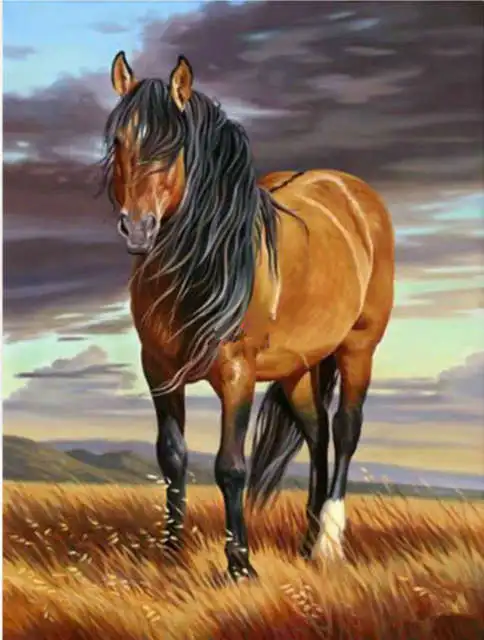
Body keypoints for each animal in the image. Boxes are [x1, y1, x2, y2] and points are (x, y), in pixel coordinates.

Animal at [101, 50, 395, 581]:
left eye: (175, 145)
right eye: (119, 141)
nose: (138, 228)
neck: (201, 261)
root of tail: (353, 191)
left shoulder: (236, 372)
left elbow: (231, 466)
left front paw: (240, 564)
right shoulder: (159, 370)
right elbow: (172, 457)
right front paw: (171, 552)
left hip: (358, 348)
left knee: (345, 430)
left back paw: (328, 543)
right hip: (298, 368)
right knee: (317, 435)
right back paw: (306, 542)